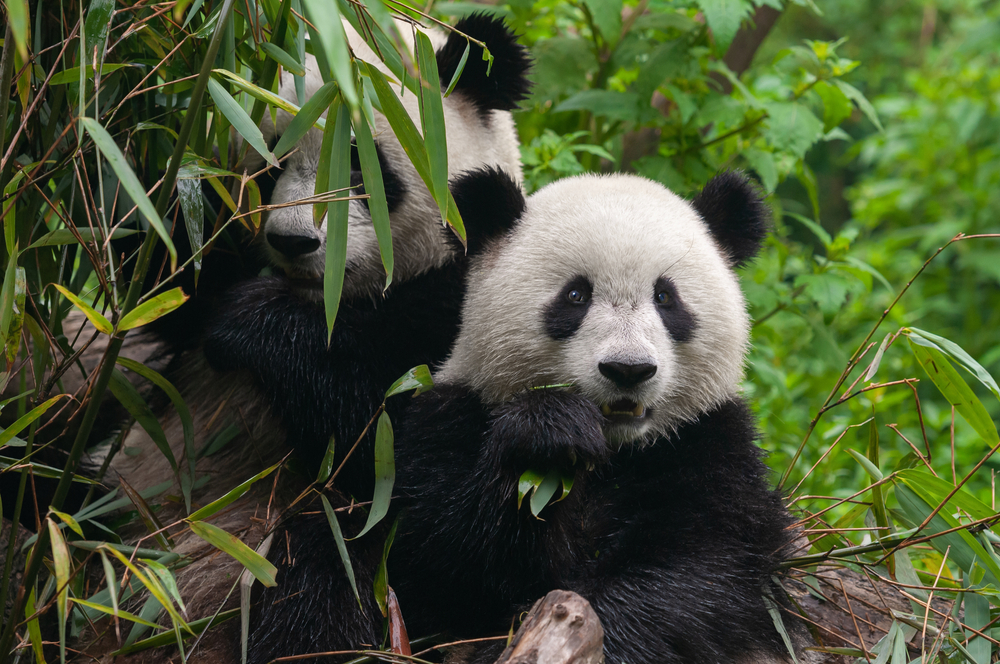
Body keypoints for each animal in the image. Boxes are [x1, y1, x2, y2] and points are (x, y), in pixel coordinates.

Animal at [95, 14, 530, 663]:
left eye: (358, 166)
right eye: (267, 163)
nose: (294, 241)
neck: (331, 303)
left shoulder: (464, 313)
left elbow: (404, 457)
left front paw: (252, 324)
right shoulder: (200, 275)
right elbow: (162, 263)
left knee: (321, 569)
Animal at [256, 168, 804, 664]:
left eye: (666, 298)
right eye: (576, 296)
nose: (627, 369)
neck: (613, 452)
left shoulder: (704, 443)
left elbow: (693, 569)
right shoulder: (451, 418)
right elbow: (450, 556)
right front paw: (551, 432)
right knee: (321, 569)